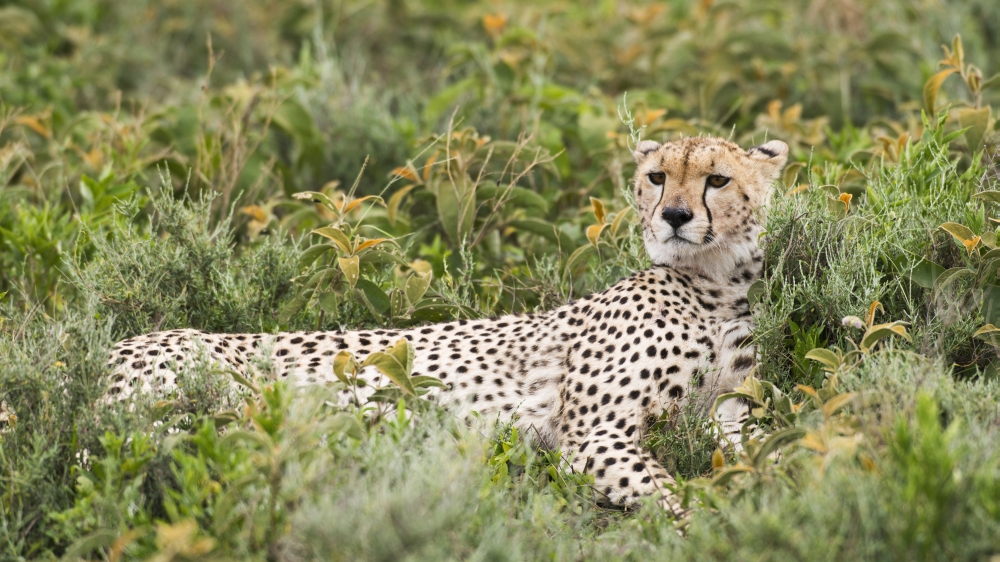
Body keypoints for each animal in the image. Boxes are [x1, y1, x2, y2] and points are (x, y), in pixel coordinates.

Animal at [106, 136, 789, 513]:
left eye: (717, 179)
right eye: (657, 177)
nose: (673, 215)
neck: (714, 286)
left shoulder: (729, 416)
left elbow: (779, 450)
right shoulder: (596, 434)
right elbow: (674, 492)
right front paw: (716, 524)